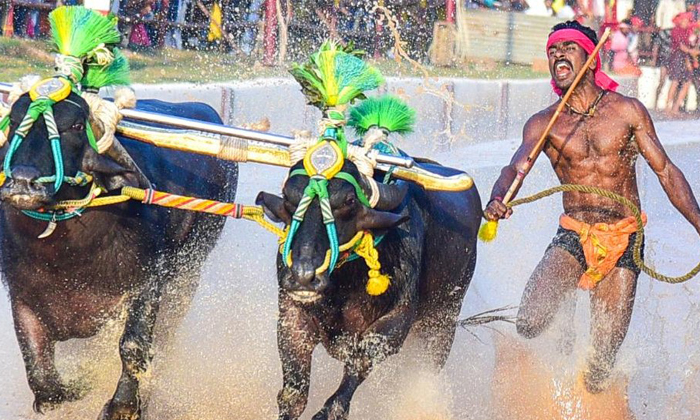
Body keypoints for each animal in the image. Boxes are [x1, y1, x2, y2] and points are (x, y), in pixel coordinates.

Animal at [0, 94, 238, 420]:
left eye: (76, 126)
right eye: (13, 121)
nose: (23, 181)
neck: (68, 255)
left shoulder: (148, 283)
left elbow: (133, 347)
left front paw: (122, 404)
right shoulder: (22, 295)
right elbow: (41, 374)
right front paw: (80, 387)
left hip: (188, 273)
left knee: (165, 338)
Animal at [258, 159, 482, 418]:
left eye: (349, 201)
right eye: (288, 197)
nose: (303, 276)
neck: (343, 286)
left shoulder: (396, 321)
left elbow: (359, 363)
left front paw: (329, 410)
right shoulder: (292, 318)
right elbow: (293, 396)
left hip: (442, 324)